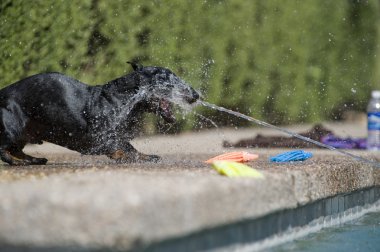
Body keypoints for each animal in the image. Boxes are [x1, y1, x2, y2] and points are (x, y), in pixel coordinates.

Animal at [0, 62, 200, 165]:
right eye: (169, 80)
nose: (196, 95)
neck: (122, 101)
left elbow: (129, 146)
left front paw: (144, 156)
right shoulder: (100, 138)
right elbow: (123, 148)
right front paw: (128, 156)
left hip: (22, 135)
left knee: (16, 150)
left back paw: (33, 159)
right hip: (12, 129)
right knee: (4, 151)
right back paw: (19, 162)